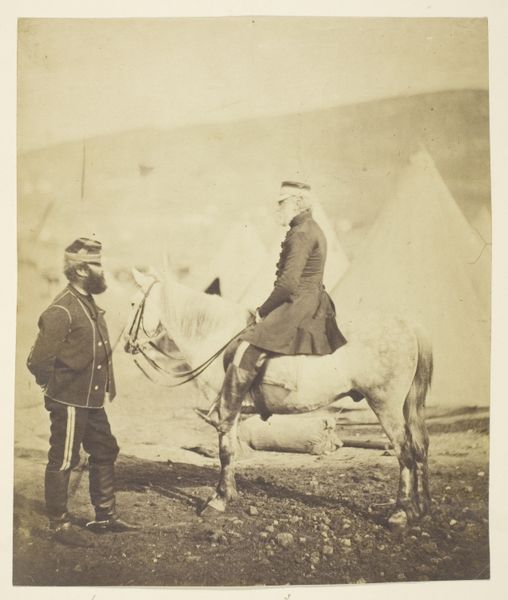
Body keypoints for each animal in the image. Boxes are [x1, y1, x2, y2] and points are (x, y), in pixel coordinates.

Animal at [124, 268, 433, 529]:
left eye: (132, 304)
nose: (127, 345)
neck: (217, 335)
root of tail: (408, 325)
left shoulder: (226, 406)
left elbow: (225, 451)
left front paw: (218, 500)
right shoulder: (232, 409)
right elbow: (231, 451)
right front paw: (230, 494)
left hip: (385, 405)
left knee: (404, 452)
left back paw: (399, 514)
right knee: (419, 447)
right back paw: (421, 510)